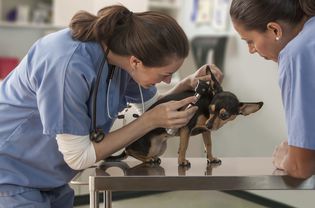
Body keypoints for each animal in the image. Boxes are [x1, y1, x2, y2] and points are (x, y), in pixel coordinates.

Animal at [107, 66, 262, 167]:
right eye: (211, 109)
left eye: (224, 115)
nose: (209, 124)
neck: (204, 109)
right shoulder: (186, 128)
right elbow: (184, 146)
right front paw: (182, 161)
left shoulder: (205, 132)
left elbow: (209, 144)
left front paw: (211, 158)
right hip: (147, 145)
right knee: (129, 150)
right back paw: (148, 159)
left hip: (160, 147)